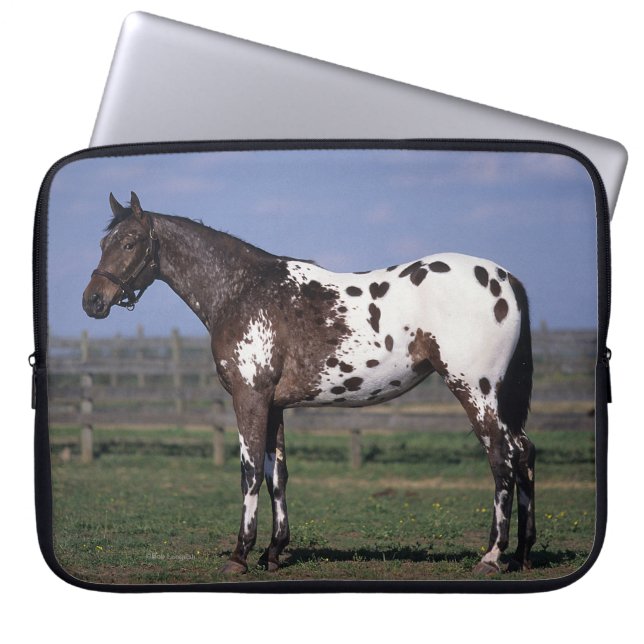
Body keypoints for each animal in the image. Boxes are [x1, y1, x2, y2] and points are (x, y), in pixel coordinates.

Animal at [82, 192, 535, 576]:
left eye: (129, 243)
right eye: (103, 243)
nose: (92, 301)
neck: (242, 290)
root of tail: (506, 278)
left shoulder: (250, 397)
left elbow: (249, 471)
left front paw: (240, 555)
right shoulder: (274, 404)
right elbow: (276, 474)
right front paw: (274, 552)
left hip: (475, 390)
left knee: (502, 458)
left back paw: (491, 557)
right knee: (524, 453)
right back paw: (522, 554)